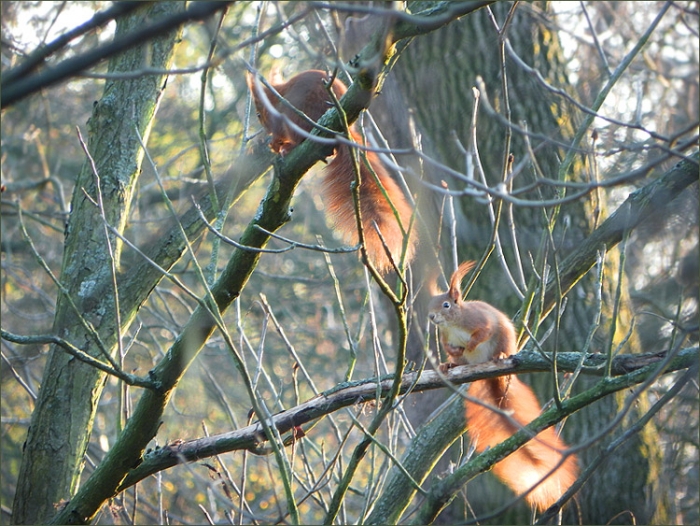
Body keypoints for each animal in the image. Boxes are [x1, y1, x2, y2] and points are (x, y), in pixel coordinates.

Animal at [248, 69, 416, 274]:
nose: (264, 128)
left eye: (258, 113)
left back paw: (289, 147)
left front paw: (274, 143)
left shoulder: (279, 117)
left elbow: (279, 130)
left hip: (297, 115)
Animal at [428, 260, 578, 512]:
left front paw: (471, 342)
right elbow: (448, 345)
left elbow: (483, 332)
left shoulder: (479, 320)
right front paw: (452, 353)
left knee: (496, 348)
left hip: (504, 339)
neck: (453, 323)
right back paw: (448, 364)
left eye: (446, 304)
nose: (431, 316)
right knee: (460, 361)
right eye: (431, 304)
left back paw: (497, 356)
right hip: (465, 361)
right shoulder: (445, 336)